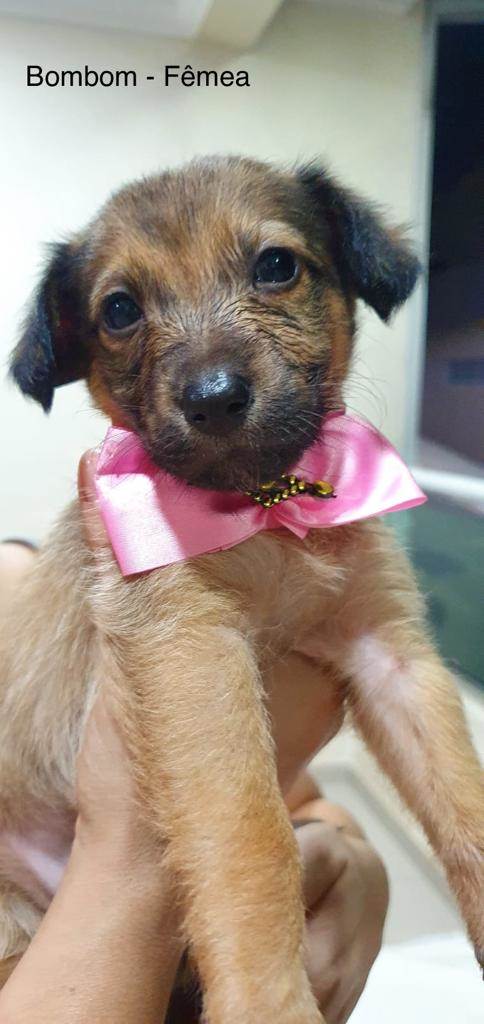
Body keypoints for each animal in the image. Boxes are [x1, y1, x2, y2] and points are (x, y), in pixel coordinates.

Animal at [1, 156, 483, 1022]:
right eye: (119, 311)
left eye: (276, 266)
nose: (214, 398)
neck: (269, 505)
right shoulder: (194, 652)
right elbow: (252, 842)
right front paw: (270, 1003)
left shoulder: (393, 655)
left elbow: (465, 806)